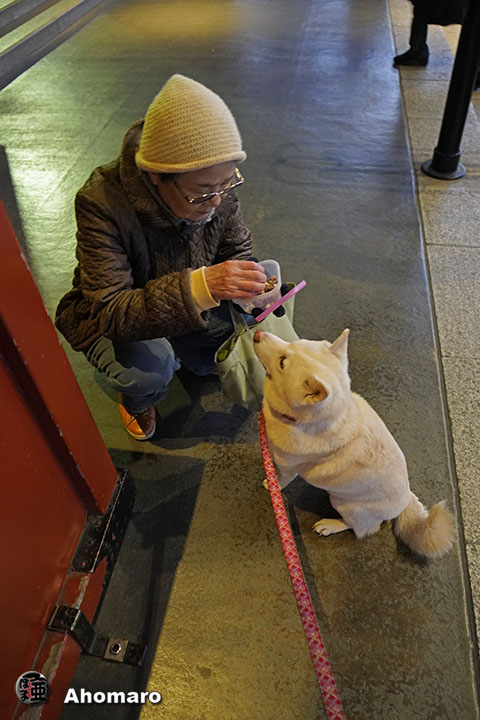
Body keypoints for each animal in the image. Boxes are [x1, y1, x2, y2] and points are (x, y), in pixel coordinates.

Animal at [253, 327, 454, 558]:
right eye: (293, 342)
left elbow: (280, 479)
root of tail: (405, 500)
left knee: (364, 528)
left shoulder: (288, 467)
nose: (257, 333)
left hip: (344, 504)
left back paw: (331, 525)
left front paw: (271, 484)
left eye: (282, 363)